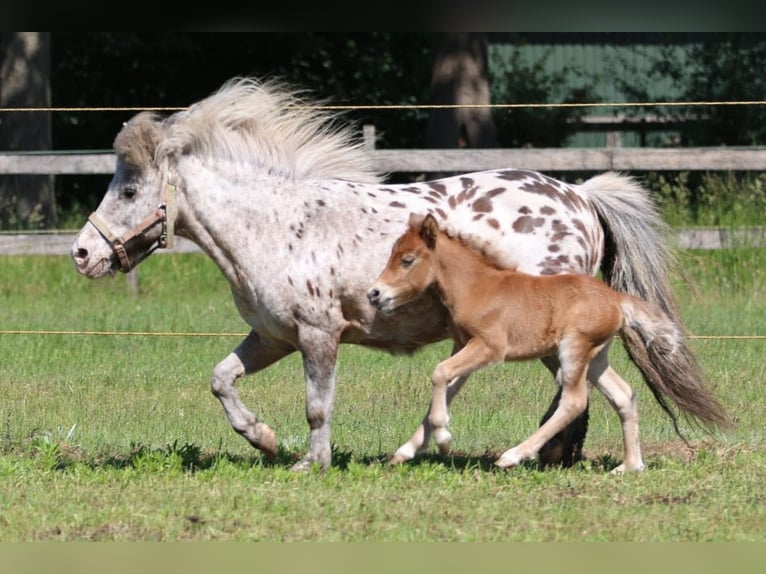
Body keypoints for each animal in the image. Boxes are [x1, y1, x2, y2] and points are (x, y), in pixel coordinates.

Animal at [75, 76, 688, 472]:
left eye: (129, 190)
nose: (82, 253)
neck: (277, 224)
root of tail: (581, 196)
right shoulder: (272, 336)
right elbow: (221, 379)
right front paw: (265, 441)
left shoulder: (318, 336)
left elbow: (317, 405)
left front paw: (312, 462)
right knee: (598, 392)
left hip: (547, 341)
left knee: (568, 397)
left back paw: (528, 456)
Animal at [368, 214, 728, 474]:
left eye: (407, 259)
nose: (374, 294)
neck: (477, 287)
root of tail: (616, 299)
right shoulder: (464, 346)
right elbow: (447, 385)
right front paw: (406, 451)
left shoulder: (489, 348)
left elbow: (440, 373)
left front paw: (443, 440)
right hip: (596, 357)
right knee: (624, 395)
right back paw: (630, 466)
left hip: (573, 349)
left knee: (574, 400)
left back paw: (513, 456)